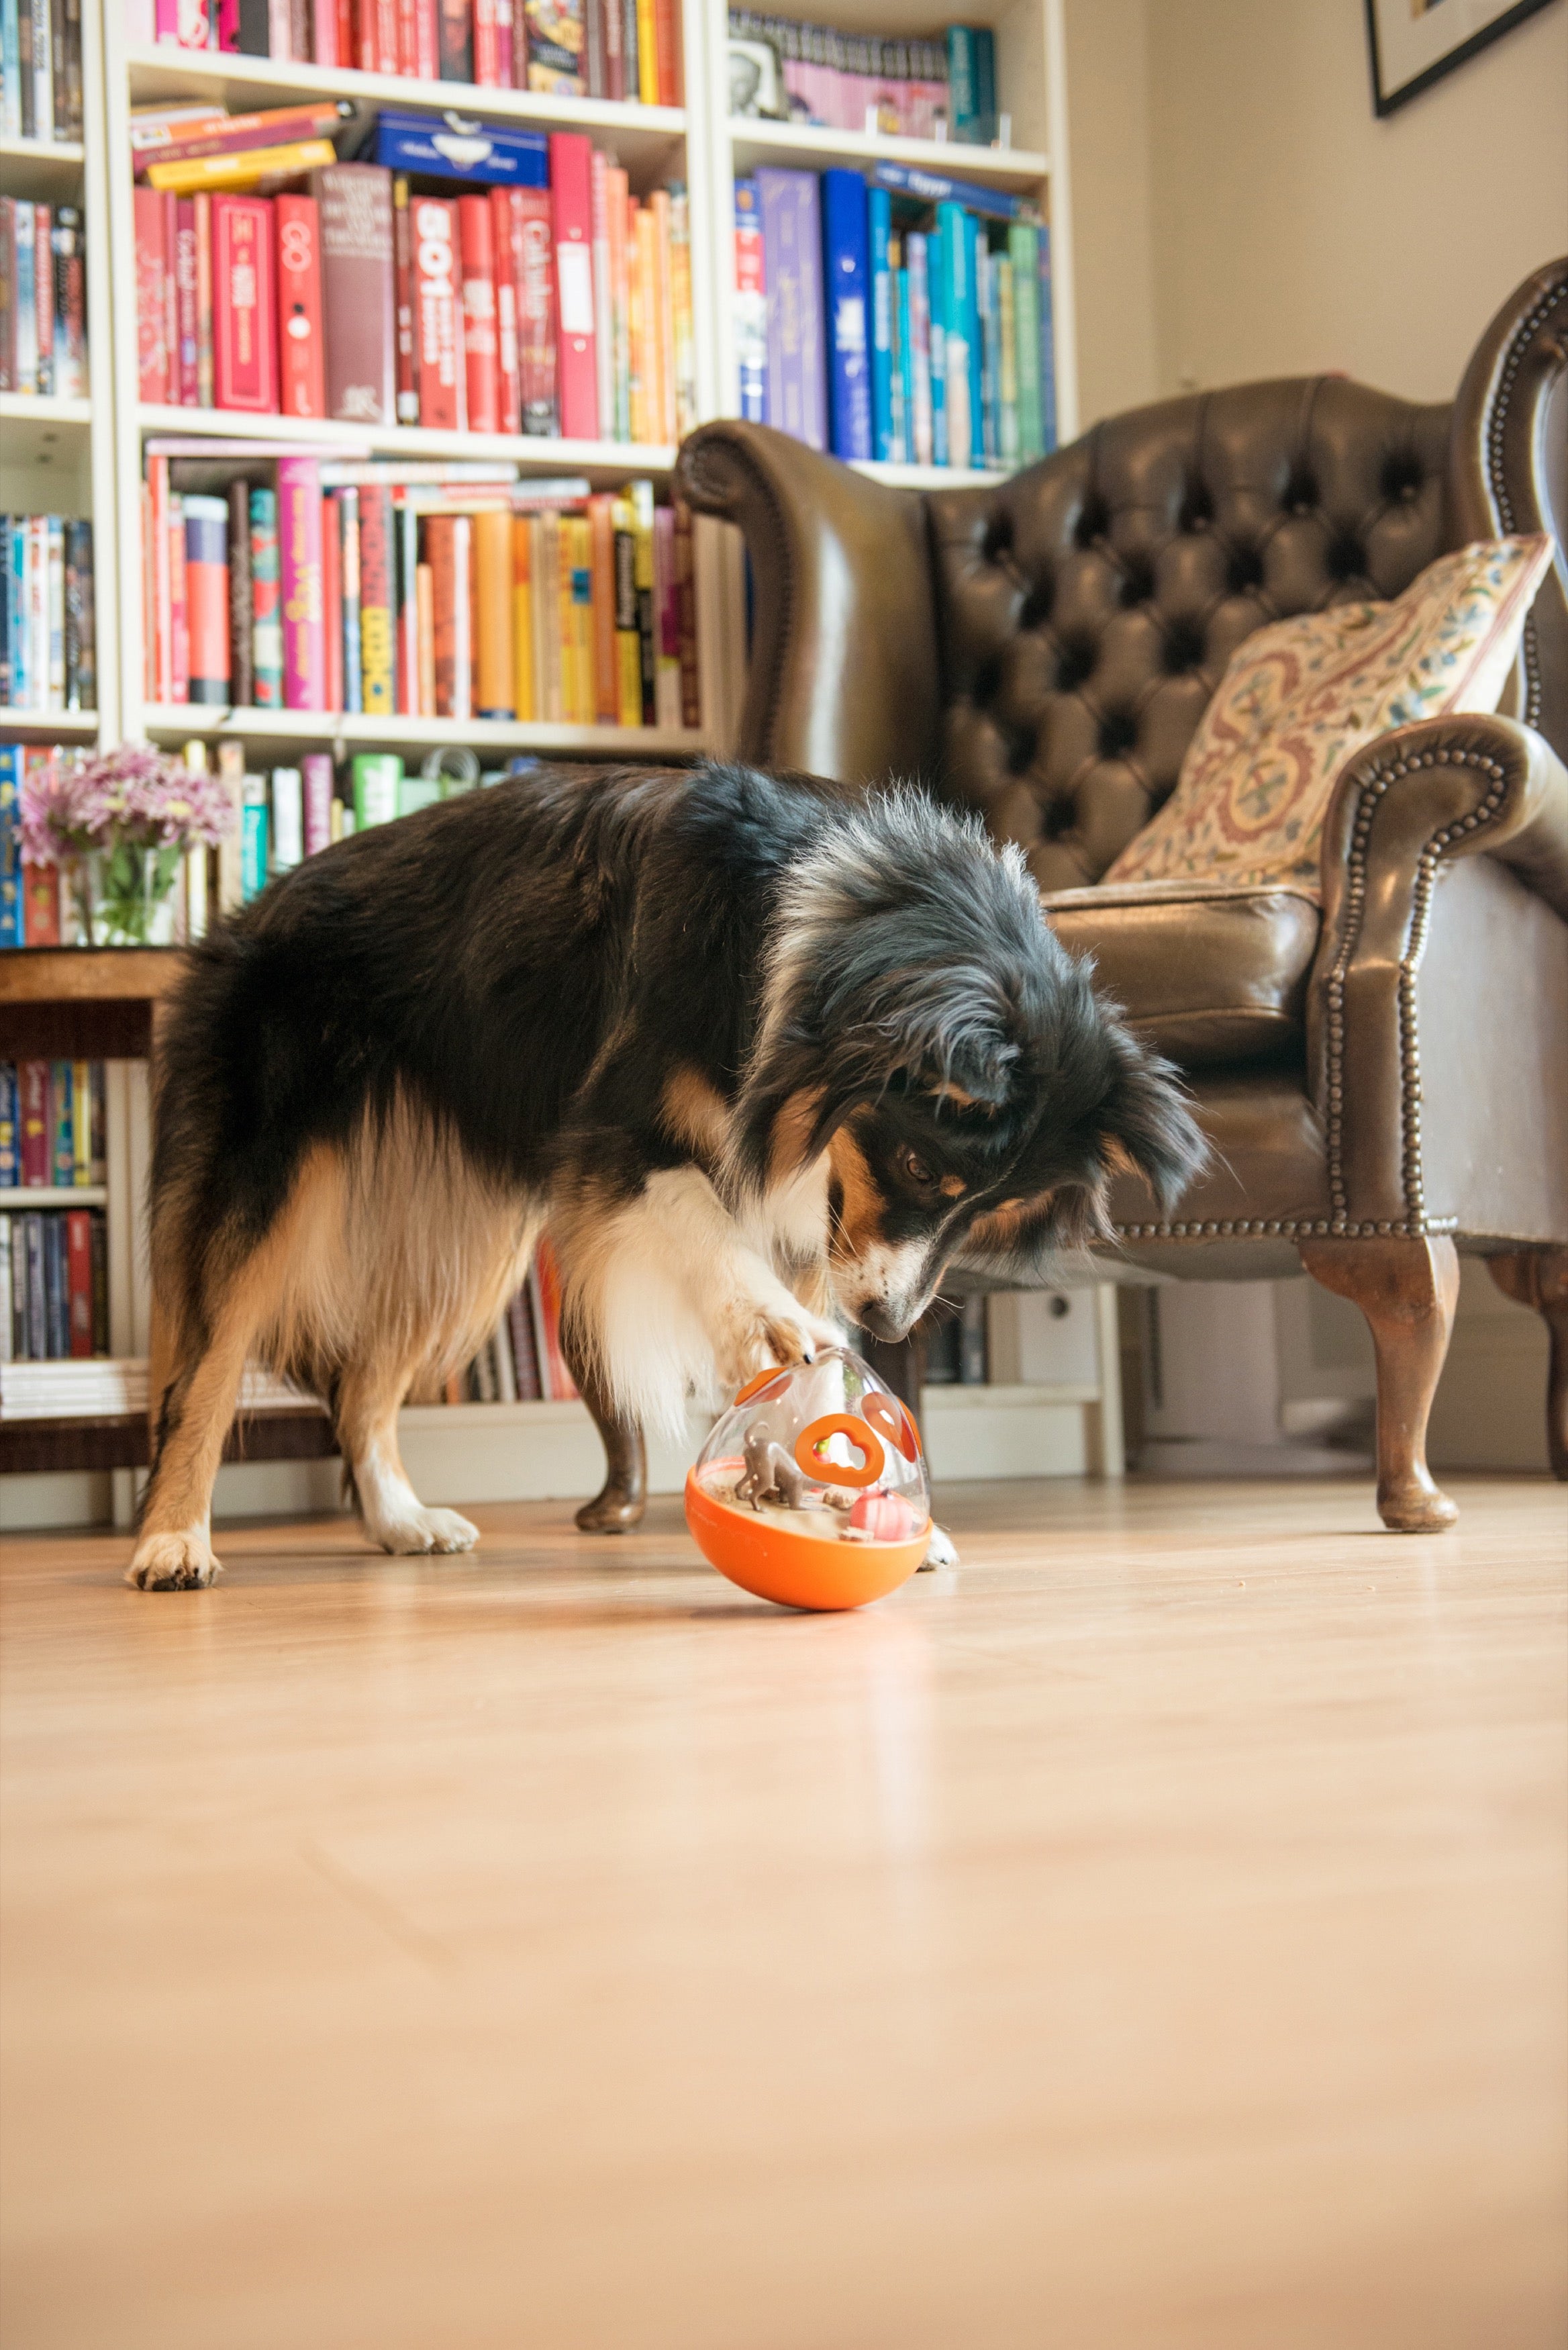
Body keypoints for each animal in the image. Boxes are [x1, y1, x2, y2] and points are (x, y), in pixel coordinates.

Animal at [135, 761, 1213, 1589]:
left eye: (988, 1213)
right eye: (919, 1159)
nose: (894, 1322)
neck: (835, 936)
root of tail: (252, 904)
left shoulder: (813, 1209)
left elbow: (815, 1386)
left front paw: (848, 1502)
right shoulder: (619, 1136)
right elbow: (709, 1226)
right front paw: (771, 1330)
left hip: (466, 1235)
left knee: (363, 1383)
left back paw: (401, 1520)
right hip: (270, 1178)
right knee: (207, 1371)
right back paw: (170, 1540)